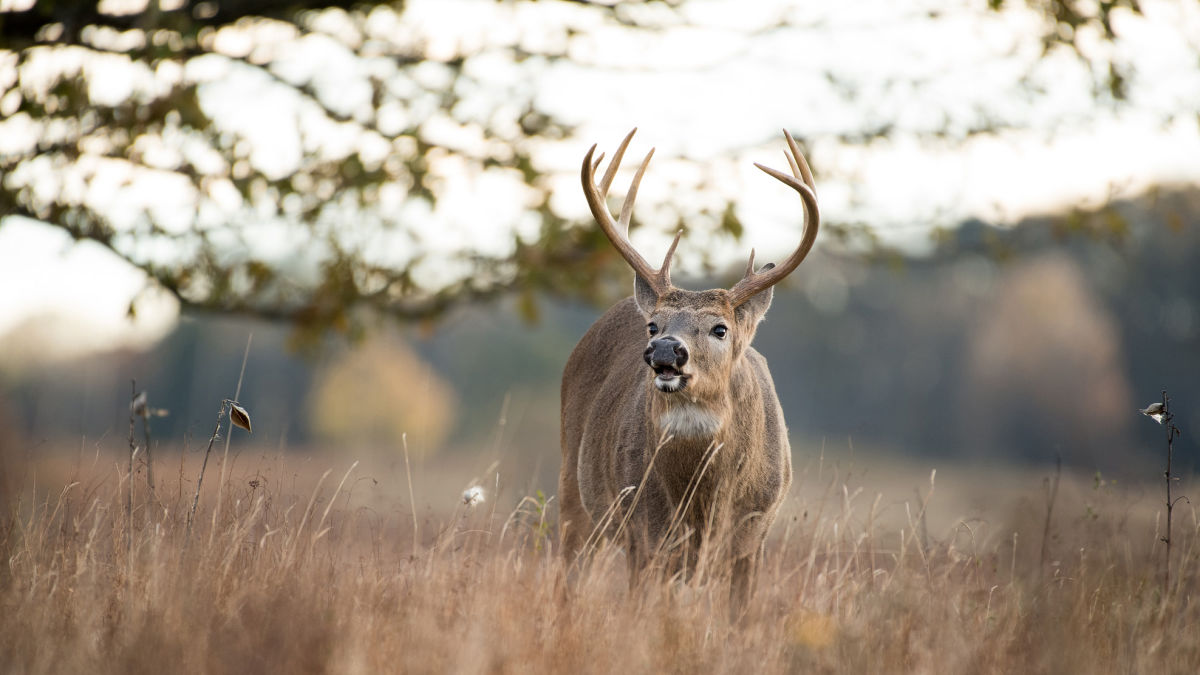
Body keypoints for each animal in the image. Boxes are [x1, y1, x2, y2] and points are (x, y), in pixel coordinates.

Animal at [556, 126, 820, 605]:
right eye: (653, 324)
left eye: (720, 329)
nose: (664, 350)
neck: (704, 503)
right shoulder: (644, 532)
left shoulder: (753, 533)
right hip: (575, 488)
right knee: (568, 576)